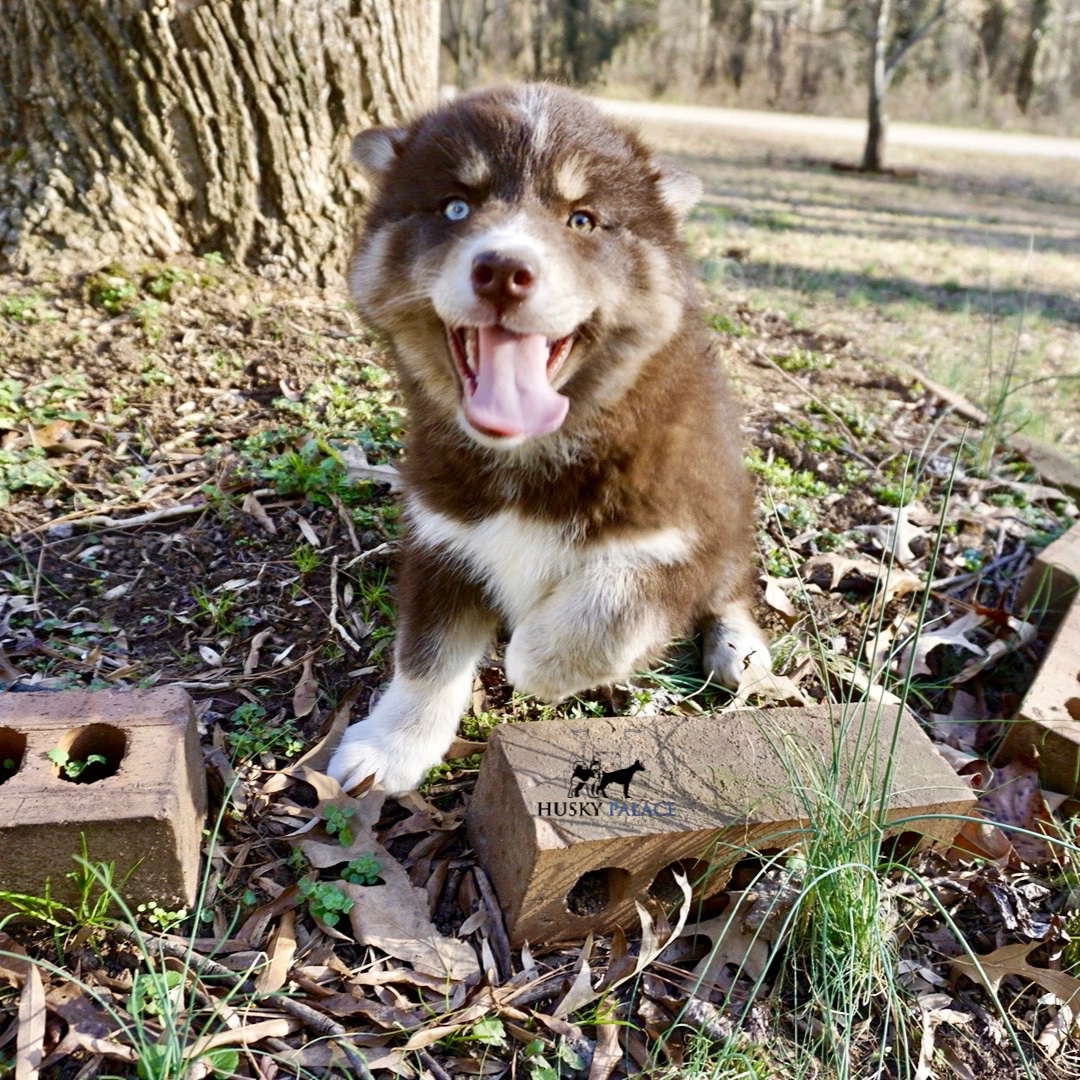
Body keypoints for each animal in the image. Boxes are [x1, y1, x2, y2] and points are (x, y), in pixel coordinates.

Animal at [328, 84, 768, 794]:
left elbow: (612, 605)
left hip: (730, 510)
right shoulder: (443, 536)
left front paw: (536, 658)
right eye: (455, 206)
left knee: (733, 585)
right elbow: (426, 657)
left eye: (582, 221)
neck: (529, 456)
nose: (504, 270)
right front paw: (392, 747)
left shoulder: (688, 528)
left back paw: (740, 648)